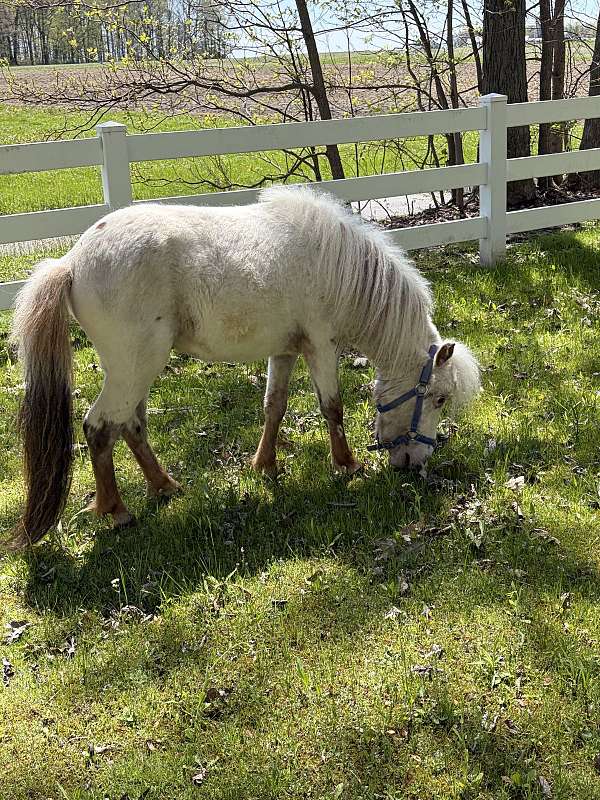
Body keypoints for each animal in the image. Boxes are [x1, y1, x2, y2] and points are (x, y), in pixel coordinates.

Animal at [8, 186, 481, 548]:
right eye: (438, 398)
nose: (415, 462)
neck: (339, 267)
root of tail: (70, 262)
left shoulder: (286, 351)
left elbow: (275, 406)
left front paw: (265, 464)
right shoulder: (322, 346)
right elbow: (332, 408)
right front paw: (346, 465)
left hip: (137, 371)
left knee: (131, 425)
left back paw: (164, 486)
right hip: (133, 368)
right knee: (100, 428)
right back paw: (117, 510)